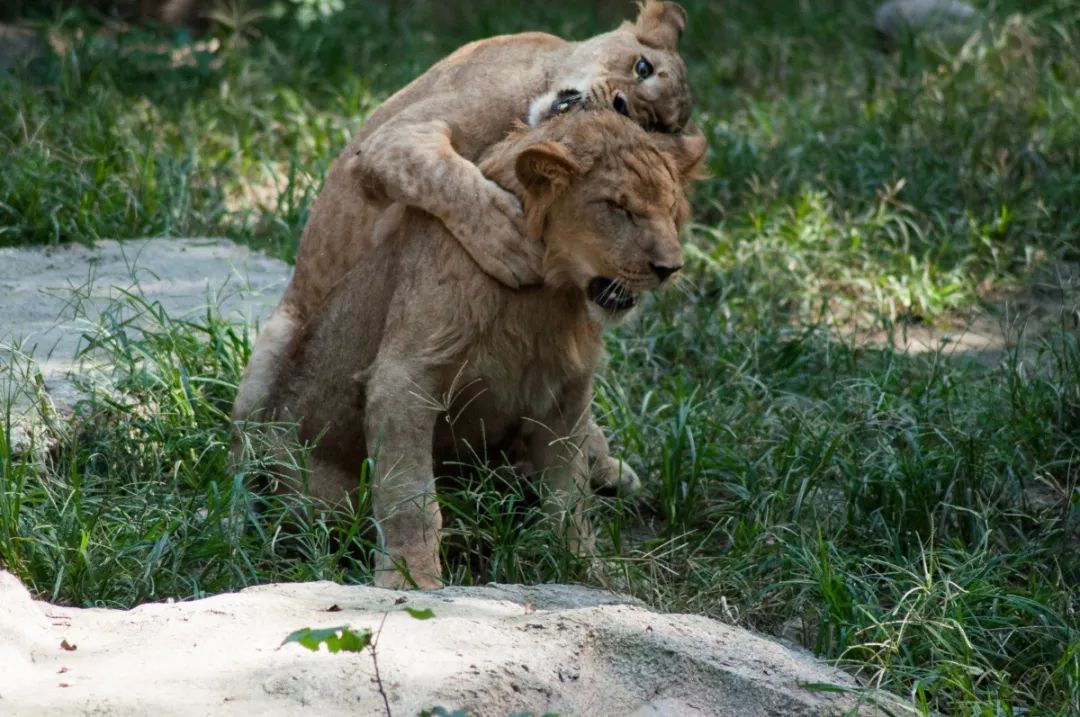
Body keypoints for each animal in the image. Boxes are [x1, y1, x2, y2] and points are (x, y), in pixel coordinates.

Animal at [232, 2, 695, 434]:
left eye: (653, 125)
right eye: (641, 67)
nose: (622, 105)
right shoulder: (391, 140)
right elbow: (443, 174)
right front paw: (508, 241)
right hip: (275, 344)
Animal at [267, 109, 708, 587]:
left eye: (671, 208)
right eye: (618, 208)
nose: (670, 269)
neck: (550, 297)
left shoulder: (568, 393)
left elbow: (569, 495)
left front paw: (588, 568)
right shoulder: (403, 378)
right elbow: (411, 497)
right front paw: (411, 580)